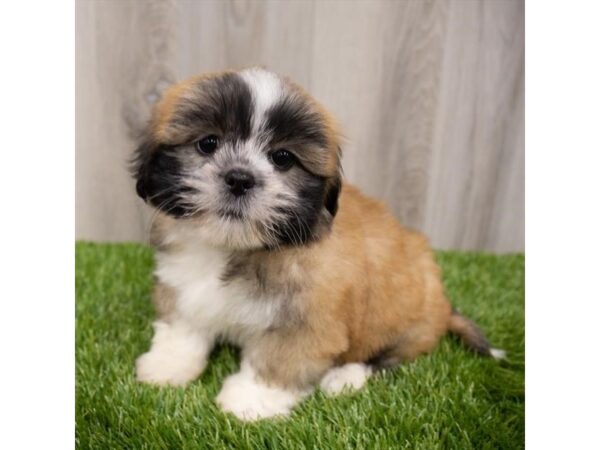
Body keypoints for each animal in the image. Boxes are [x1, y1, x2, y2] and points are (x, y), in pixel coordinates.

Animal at [130, 67, 502, 422]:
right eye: (208, 143)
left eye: (282, 158)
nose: (240, 178)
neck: (236, 247)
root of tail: (444, 307)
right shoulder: (181, 285)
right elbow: (181, 328)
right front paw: (168, 365)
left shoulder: (307, 319)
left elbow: (280, 359)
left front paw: (250, 402)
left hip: (404, 322)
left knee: (386, 358)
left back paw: (344, 378)